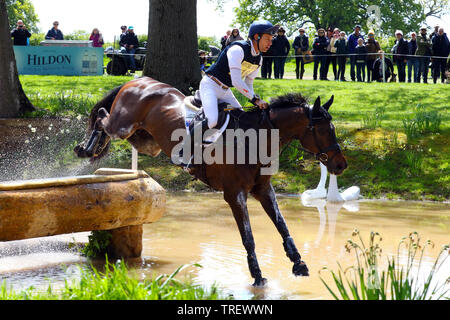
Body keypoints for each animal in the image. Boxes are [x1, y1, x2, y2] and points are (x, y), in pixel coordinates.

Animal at [74, 76, 348, 286]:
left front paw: (298, 263)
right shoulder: (235, 194)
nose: (341, 165)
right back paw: (87, 148)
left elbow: (282, 225)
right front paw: (257, 276)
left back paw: (95, 148)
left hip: (146, 141)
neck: (254, 139)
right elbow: (248, 236)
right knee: (102, 117)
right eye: (324, 130)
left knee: (114, 127)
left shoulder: (263, 189)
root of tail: (138, 80)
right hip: (124, 125)